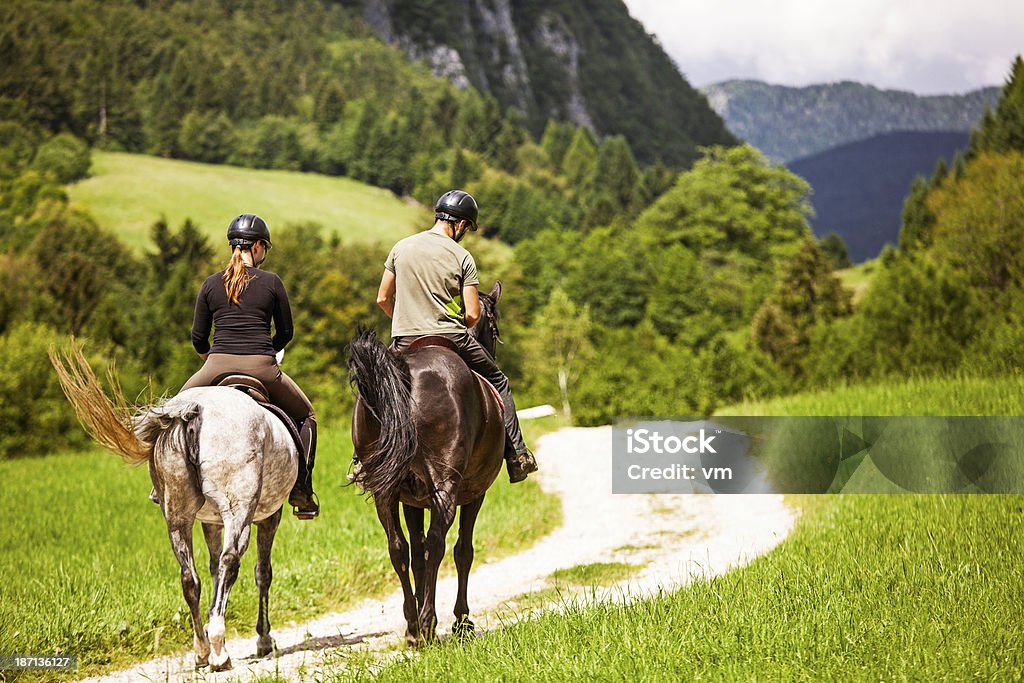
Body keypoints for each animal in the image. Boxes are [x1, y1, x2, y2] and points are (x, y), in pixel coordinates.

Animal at [51, 344, 296, 671]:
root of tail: (195, 411)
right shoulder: (269, 515)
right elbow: (262, 573)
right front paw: (264, 639)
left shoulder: (210, 520)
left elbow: (212, 570)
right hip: (239, 511)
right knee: (230, 563)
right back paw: (219, 651)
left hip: (178, 515)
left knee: (189, 578)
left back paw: (203, 649)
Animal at [348, 282, 507, 647]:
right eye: (494, 328)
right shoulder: (474, 493)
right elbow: (463, 551)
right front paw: (462, 621)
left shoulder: (411, 499)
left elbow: (416, 552)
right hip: (445, 488)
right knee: (437, 544)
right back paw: (429, 623)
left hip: (385, 491)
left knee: (398, 549)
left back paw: (413, 627)